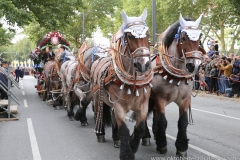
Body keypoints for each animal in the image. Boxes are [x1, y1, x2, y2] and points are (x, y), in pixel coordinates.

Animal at [91, 9, 153, 160]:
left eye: (147, 34)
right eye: (129, 36)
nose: (143, 64)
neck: (133, 83)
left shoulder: (143, 105)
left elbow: (139, 128)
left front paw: (132, 145)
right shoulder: (119, 105)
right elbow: (124, 129)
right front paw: (126, 153)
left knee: (113, 118)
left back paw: (116, 139)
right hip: (97, 97)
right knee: (97, 112)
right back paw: (100, 133)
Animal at [145, 13, 205, 156]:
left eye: (200, 37)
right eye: (183, 38)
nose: (194, 66)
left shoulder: (185, 99)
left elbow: (182, 122)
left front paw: (182, 147)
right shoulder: (160, 99)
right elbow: (163, 121)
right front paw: (162, 145)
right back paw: (146, 136)